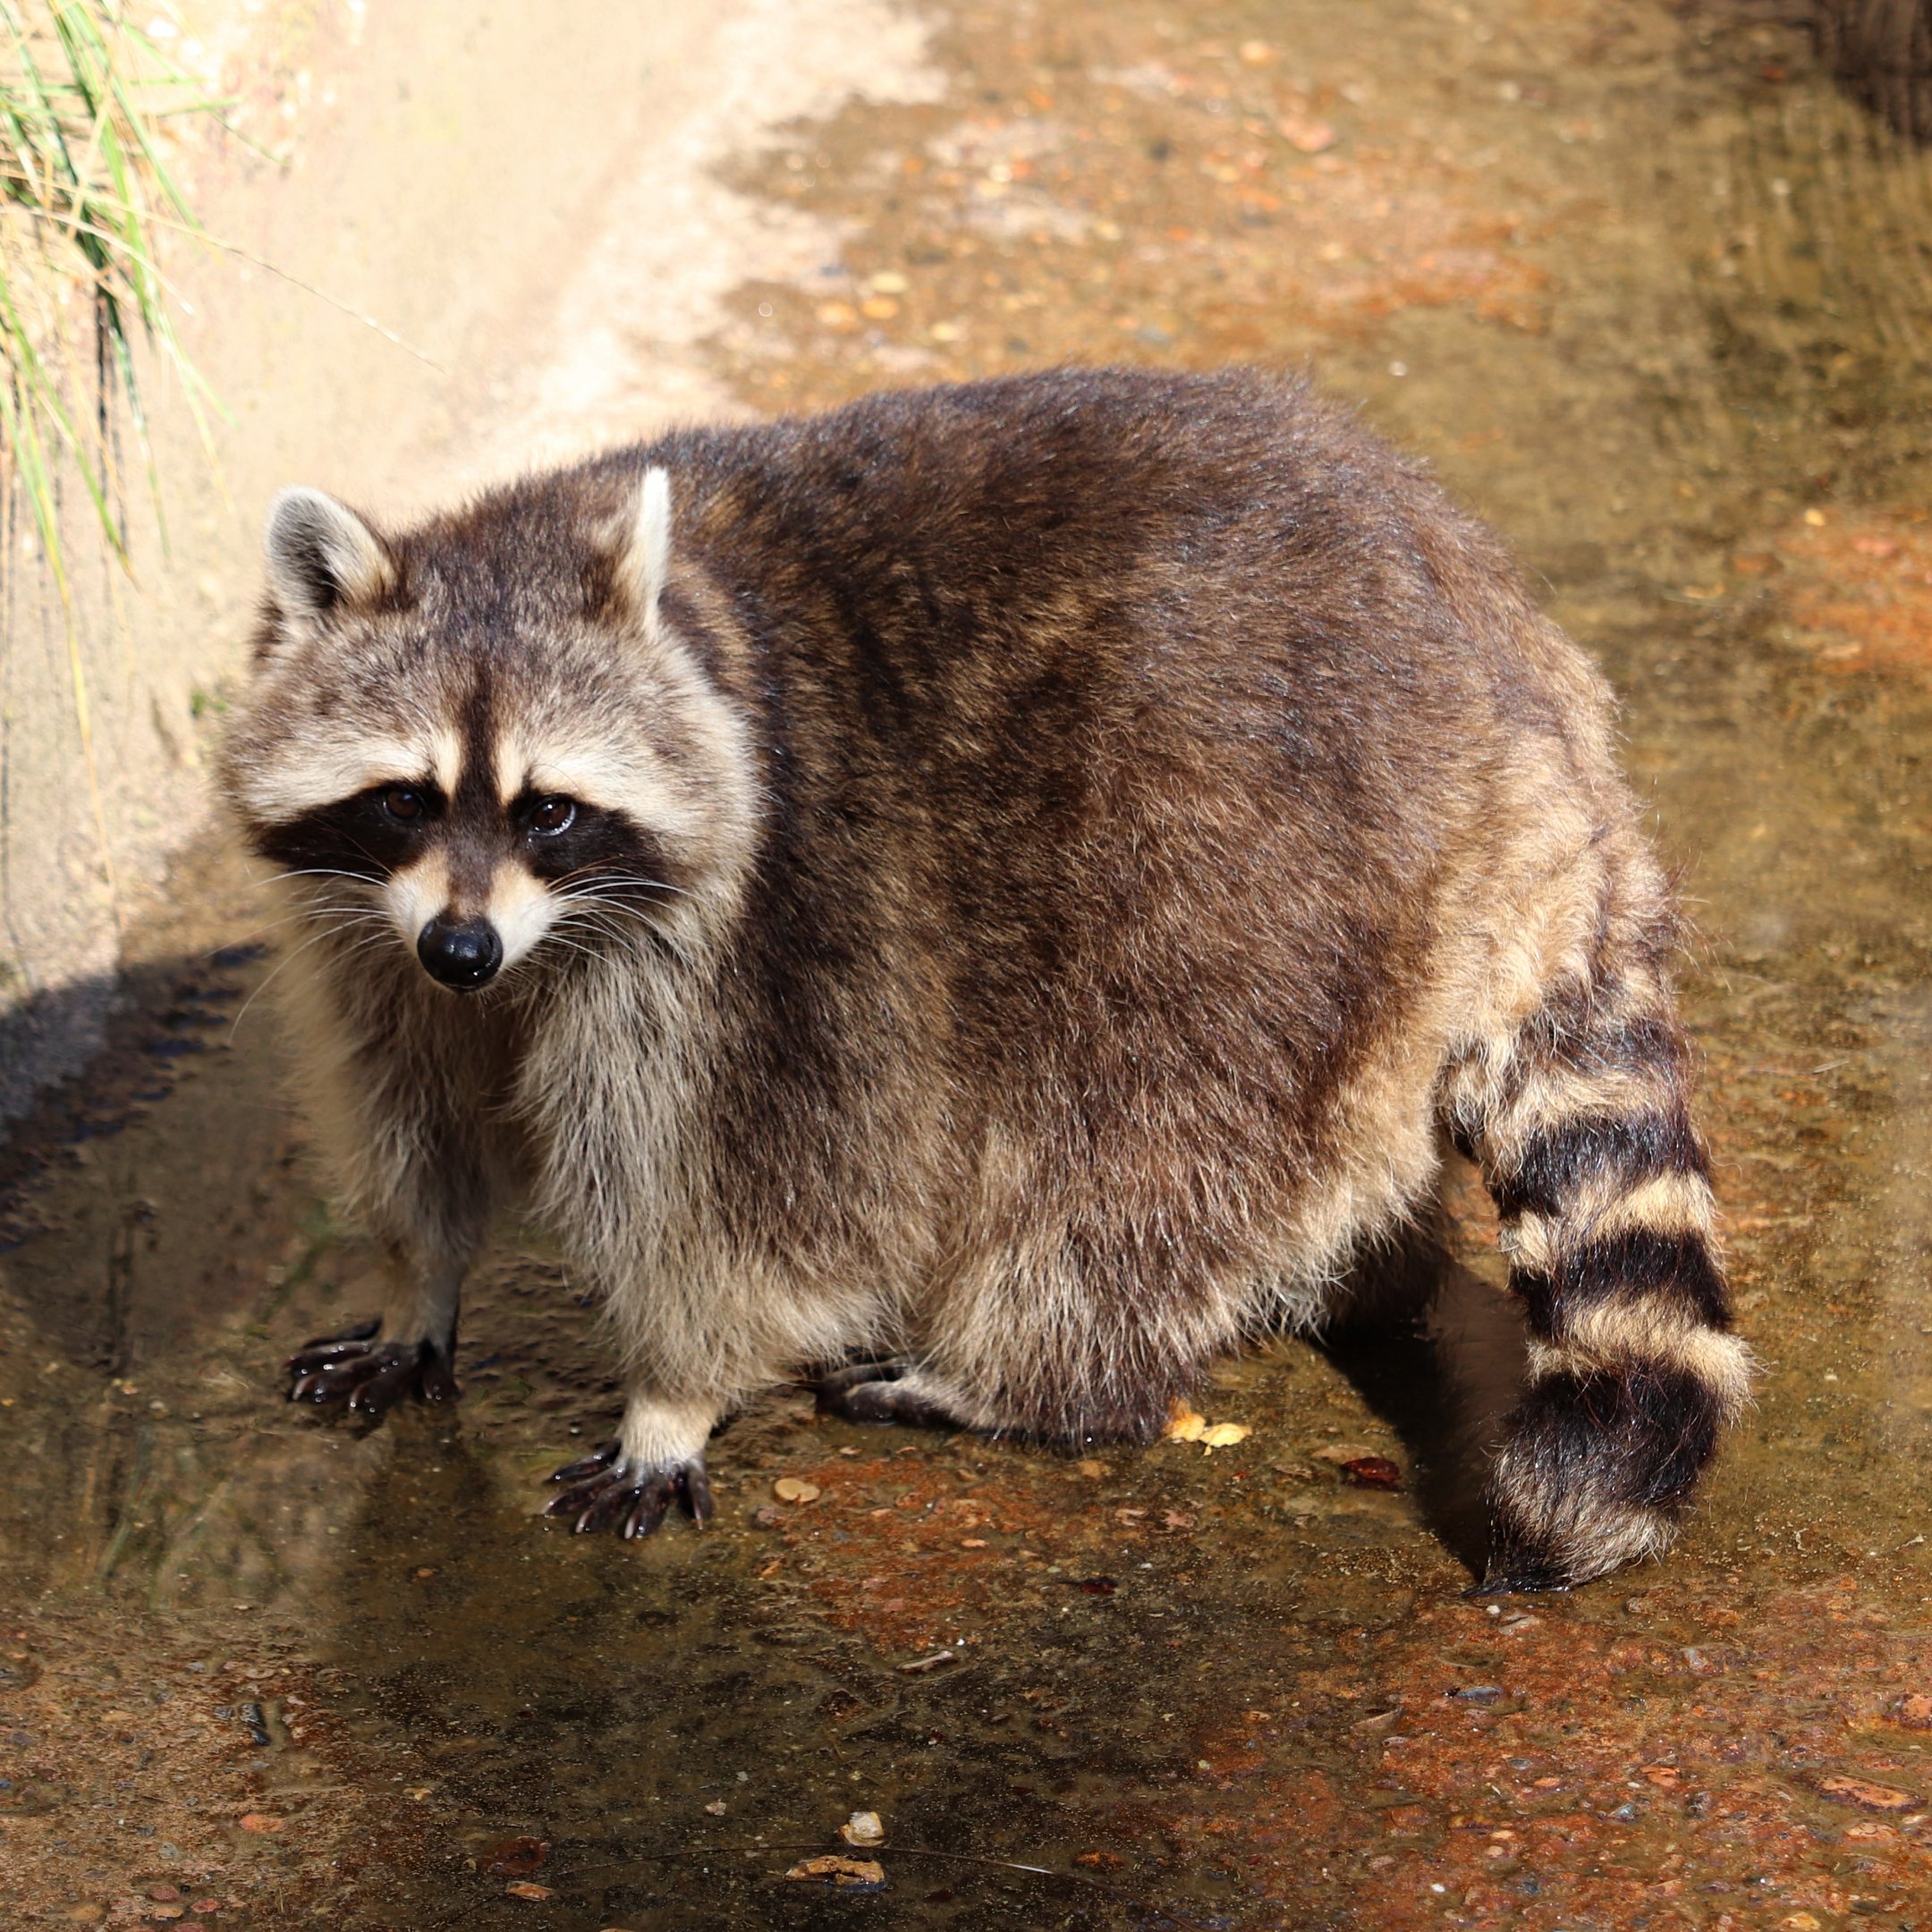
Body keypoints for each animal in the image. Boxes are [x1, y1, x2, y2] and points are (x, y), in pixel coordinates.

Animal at [219, 367, 1748, 1591]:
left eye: (547, 810)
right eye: (405, 800)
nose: (465, 950)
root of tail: (1516, 667)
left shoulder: (767, 943)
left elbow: (748, 1200)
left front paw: (672, 1393)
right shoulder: (373, 935)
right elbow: (413, 1108)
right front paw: (418, 1280)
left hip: (1249, 854)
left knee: (1136, 1152)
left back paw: (1026, 1381)